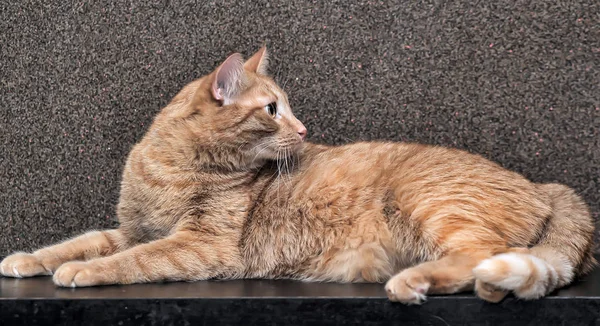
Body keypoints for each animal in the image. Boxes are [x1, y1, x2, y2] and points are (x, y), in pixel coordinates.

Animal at [1, 47, 596, 304]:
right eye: (272, 109)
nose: (305, 130)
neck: (174, 166)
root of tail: (545, 186)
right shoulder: (129, 229)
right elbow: (76, 243)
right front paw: (27, 258)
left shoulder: (201, 243)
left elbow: (132, 261)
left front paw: (84, 272)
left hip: (429, 202)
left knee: (478, 258)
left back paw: (412, 283)